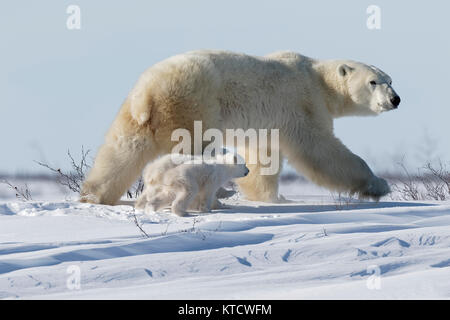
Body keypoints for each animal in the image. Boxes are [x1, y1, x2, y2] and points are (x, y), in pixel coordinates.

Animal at [79, 50, 400, 205]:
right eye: (374, 82)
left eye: (390, 79)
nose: (395, 99)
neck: (319, 80)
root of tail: (147, 92)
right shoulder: (303, 104)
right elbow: (321, 150)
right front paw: (378, 185)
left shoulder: (270, 124)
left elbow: (264, 157)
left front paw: (270, 197)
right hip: (192, 102)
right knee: (194, 145)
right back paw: (218, 191)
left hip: (137, 115)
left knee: (122, 150)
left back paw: (95, 195)